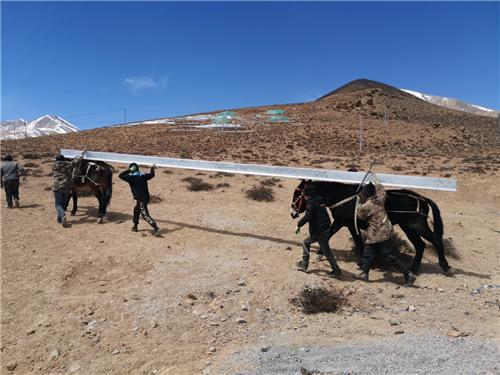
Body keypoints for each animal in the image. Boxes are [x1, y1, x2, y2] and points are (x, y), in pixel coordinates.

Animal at [292, 181, 452, 274]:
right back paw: (413, 268)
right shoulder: (344, 224)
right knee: (420, 245)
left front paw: (360, 263)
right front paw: (320, 254)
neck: (342, 196)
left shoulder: (344, 223)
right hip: (408, 228)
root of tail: (421, 198)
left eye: (297, 194)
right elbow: (333, 236)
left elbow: (352, 241)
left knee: (436, 240)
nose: (292, 213)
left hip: (416, 226)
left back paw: (445, 266)